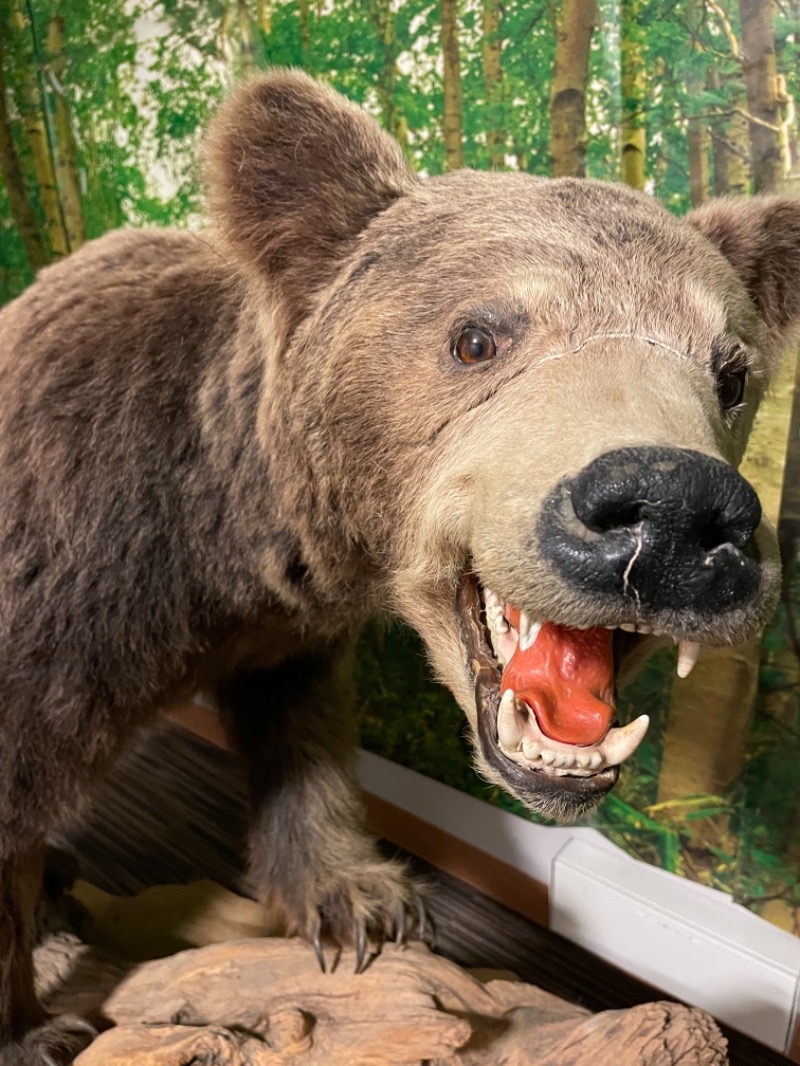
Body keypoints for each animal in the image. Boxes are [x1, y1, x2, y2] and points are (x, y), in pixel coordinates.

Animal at [1, 70, 800, 1061]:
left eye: (731, 370)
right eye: (477, 337)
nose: (676, 509)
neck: (226, 542)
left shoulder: (282, 636)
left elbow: (302, 742)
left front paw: (357, 900)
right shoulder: (58, 599)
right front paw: (34, 1027)